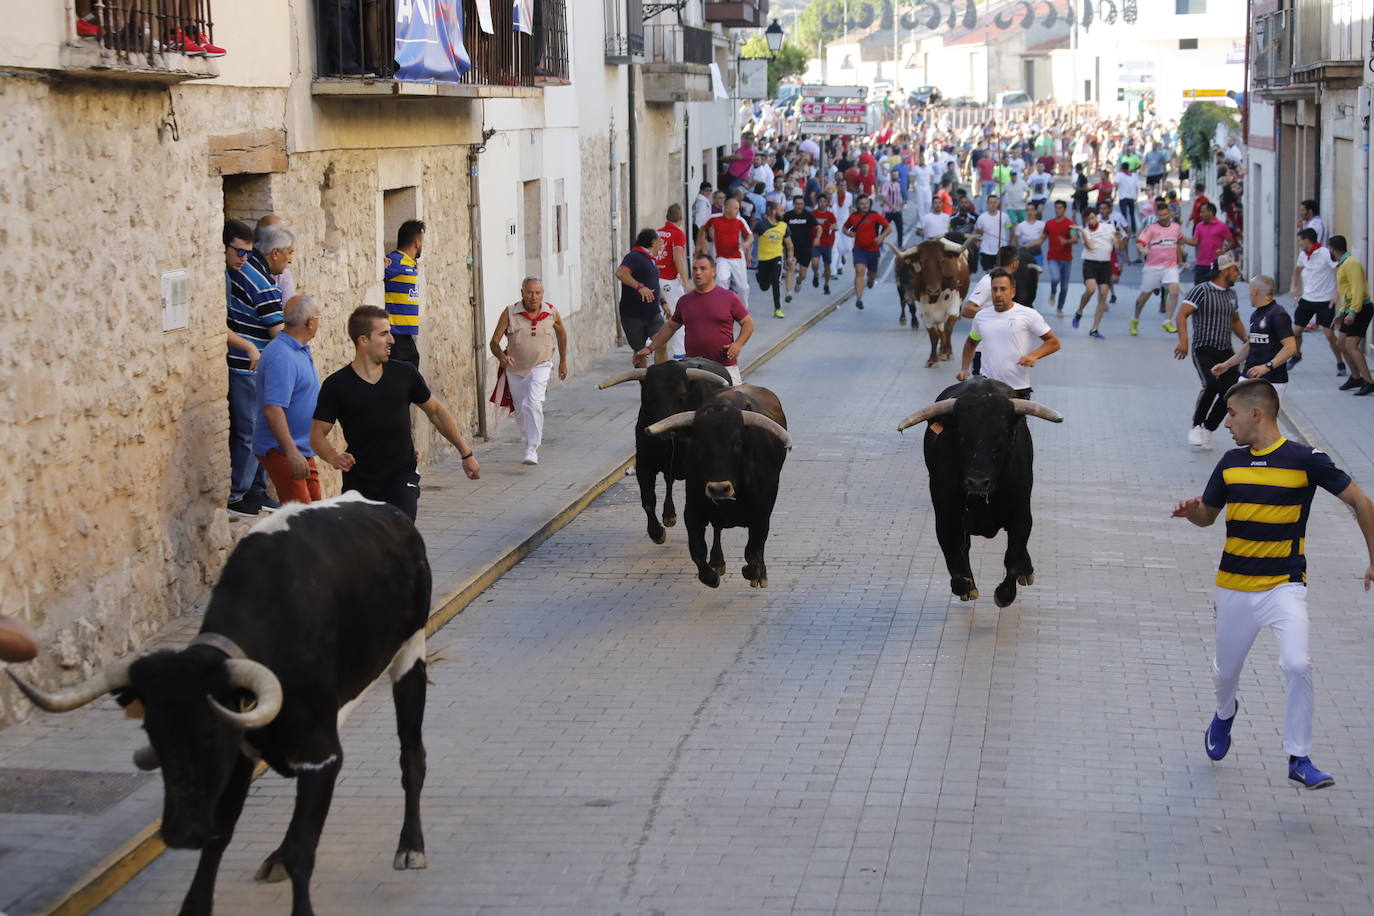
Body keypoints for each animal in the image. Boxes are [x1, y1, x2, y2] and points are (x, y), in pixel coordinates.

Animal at [890, 240, 967, 368]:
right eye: (922, 263)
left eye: (942, 261)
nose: (933, 290)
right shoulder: (925, 312)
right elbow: (934, 335)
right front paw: (933, 359)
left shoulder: (953, 307)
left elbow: (948, 328)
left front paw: (947, 353)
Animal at [895, 379, 1066, 609]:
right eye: (961, 437)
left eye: (1001, 439)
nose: (977, 482)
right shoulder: (946, 516)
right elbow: (955, 557)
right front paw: (966, 587)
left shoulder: (1021, 513)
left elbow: (1013, 557)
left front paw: (1004, 593)